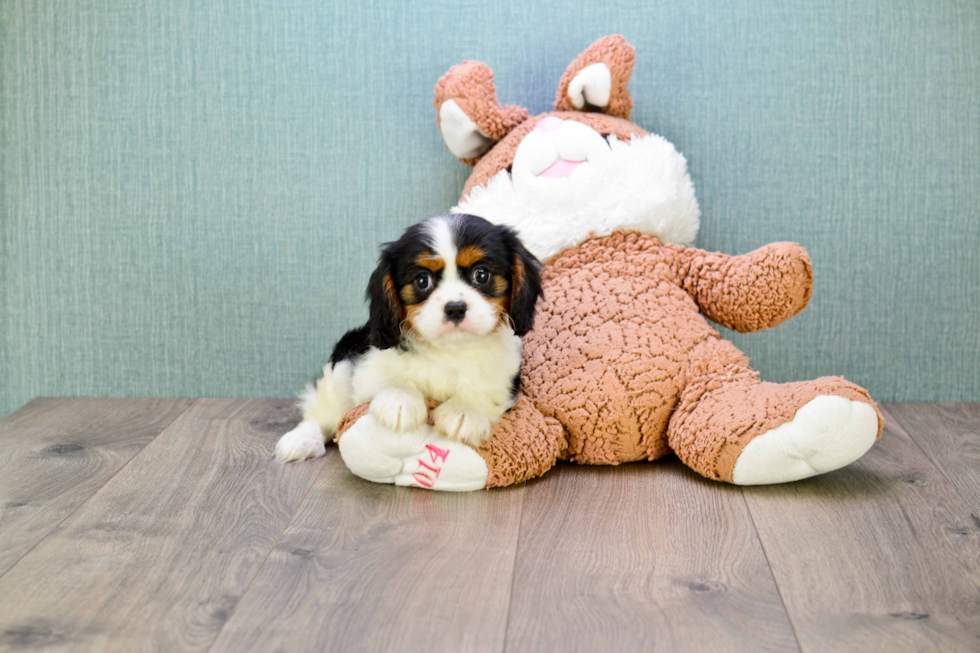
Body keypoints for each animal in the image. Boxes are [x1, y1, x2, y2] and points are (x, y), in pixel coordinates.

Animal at [274, 211, 544, 460]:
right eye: (422, 280)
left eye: (482, 274)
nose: (455, 308)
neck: (449, 349)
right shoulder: (366, 367)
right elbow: (390, 377)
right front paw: (400, 400)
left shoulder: (504, 375)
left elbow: (484, 390)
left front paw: (463, 412)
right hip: (340, 368)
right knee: (321, 412)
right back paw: (301, 440)